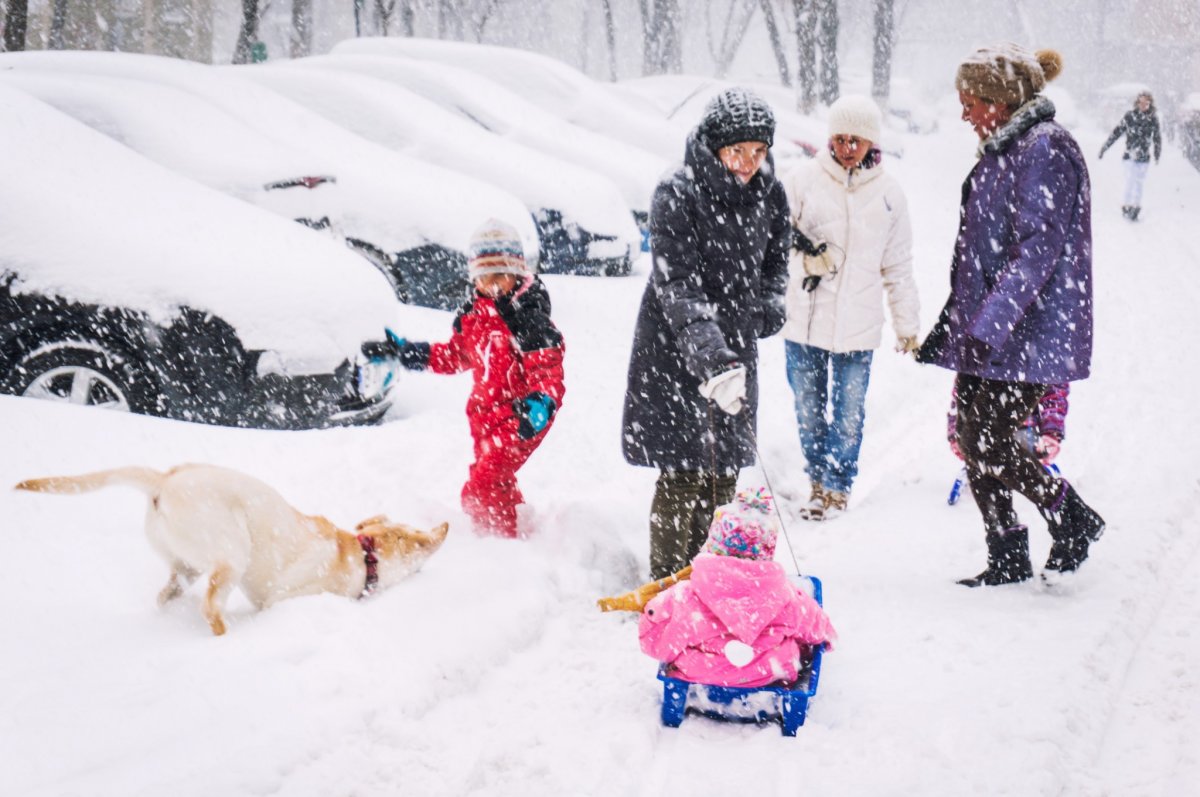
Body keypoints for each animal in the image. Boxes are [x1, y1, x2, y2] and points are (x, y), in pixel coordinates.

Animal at [16, 460, 448, 633]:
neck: (363, 553)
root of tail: (164, 479)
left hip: (186, 564)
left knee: (167, 593)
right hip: (231, 554)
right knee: (211, 608)